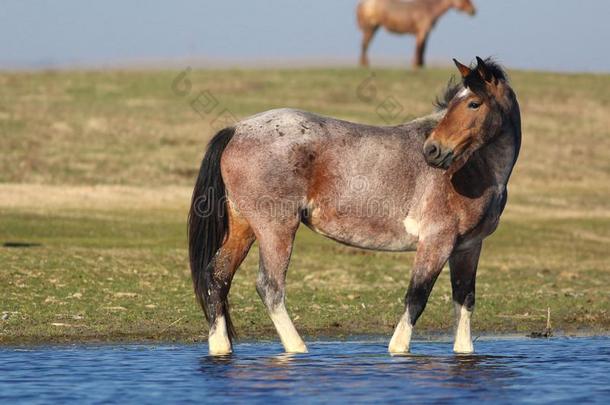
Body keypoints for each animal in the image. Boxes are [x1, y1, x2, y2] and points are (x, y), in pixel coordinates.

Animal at [189, 56, 516, 354]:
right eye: (456, 104)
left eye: (474, 103)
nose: (433, 151)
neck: (473, 169)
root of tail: (236, 129)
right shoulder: (436, 242)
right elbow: (417, 297)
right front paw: (398, 349)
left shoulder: (468, 247)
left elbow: (464, 300)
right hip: (276, 230)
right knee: (270, 287)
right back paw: (298, 348)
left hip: (244, 228)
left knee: (217, 278)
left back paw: (221, 348)